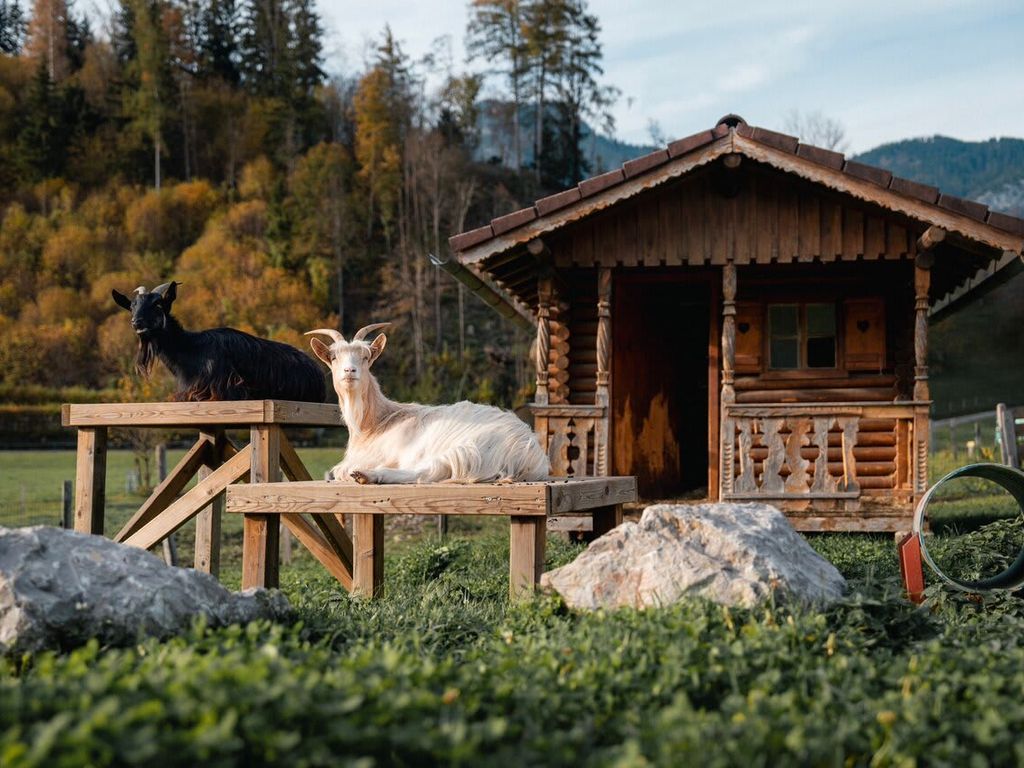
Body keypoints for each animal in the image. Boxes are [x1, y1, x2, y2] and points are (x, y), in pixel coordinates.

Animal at [307, 323, 550, 484]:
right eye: (334, 358)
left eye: (366, 357)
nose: (350, 371)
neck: (374, 424)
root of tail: (532, 454)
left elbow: (338, 471)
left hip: (470, 449)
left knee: (427, 472)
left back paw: (367, 475)